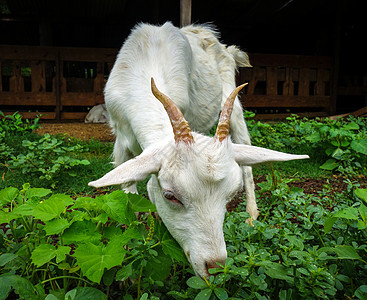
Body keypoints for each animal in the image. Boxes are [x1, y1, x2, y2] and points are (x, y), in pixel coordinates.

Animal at [90, 22, 310, 278]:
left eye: (231, 195)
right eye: (170, 196)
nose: (215, 267)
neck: (147, 67)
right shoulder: (121, 141)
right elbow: (129, 198)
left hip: (233, 103)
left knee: (246, 158)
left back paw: (251, 214)